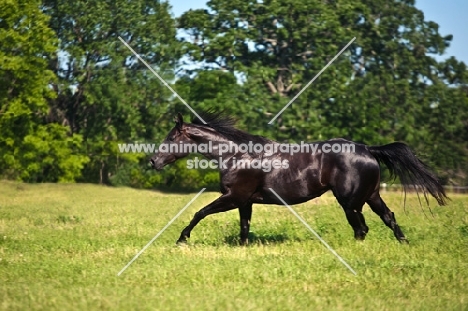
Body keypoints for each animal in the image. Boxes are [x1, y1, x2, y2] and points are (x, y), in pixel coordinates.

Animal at [149, 112, 446, 246]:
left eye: (172, 137)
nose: (153, 161)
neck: (237, 155)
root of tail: (367, 149)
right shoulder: (245, 201)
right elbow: (244, 227)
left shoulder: (233, 197)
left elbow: (199, 212)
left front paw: (182, 239)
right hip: (371, 196)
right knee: (388, 217)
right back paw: (403, 243)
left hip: (350, 201)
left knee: (362, 228)